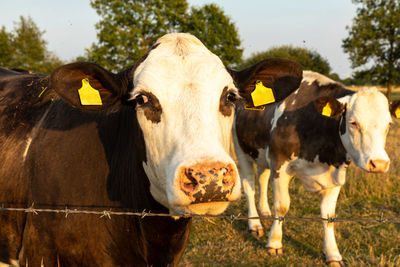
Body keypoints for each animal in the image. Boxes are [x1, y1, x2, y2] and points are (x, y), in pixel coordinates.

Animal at [233, 71, 398, 266]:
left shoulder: (335, 175)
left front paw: (332, 254)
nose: (379, 163)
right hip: (241, 149)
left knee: (262, 178)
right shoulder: (279, 164)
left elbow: (329, 216)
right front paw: (274, 243)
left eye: (389, 125)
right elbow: (282, 207)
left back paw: (264, 211)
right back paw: (255, 224)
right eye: (353, 123)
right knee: (249, 187)